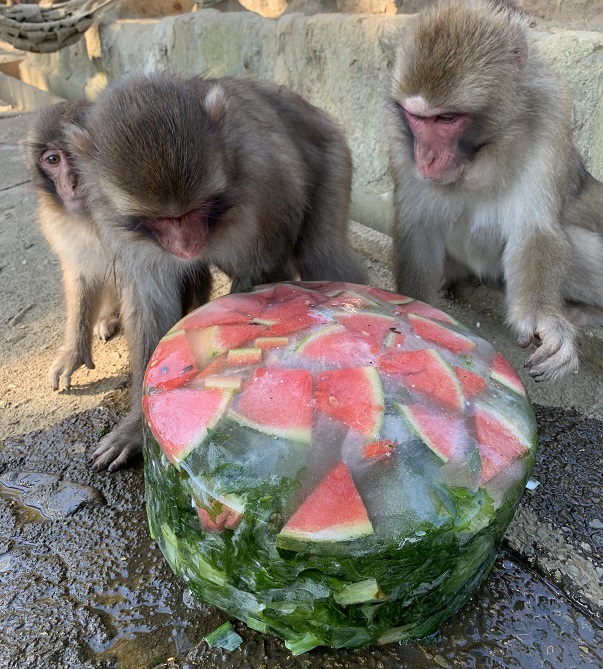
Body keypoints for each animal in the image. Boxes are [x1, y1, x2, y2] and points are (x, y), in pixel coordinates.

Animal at [26, 100, 121, 392]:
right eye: (53, 160)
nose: (71, 182)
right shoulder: (56, 223)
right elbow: (81, 275)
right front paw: (74, 351)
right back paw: (109, 317)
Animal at [66, 73, 368, 470]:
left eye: (195, 209)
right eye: (161, 219)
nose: (187, 245)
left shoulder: (262, 184)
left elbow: (261, 266)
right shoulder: (122, 229)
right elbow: (151, 304)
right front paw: (135, 427)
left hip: (333, 155)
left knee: (322, 252)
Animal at [390, 0, 603, 384]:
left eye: (446, 119)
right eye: (417, 118)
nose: (425, 157)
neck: (479, 154)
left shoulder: (549, 117)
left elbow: (536, 231)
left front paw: (545, 321)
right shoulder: (401, 143)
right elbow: (417, 228)